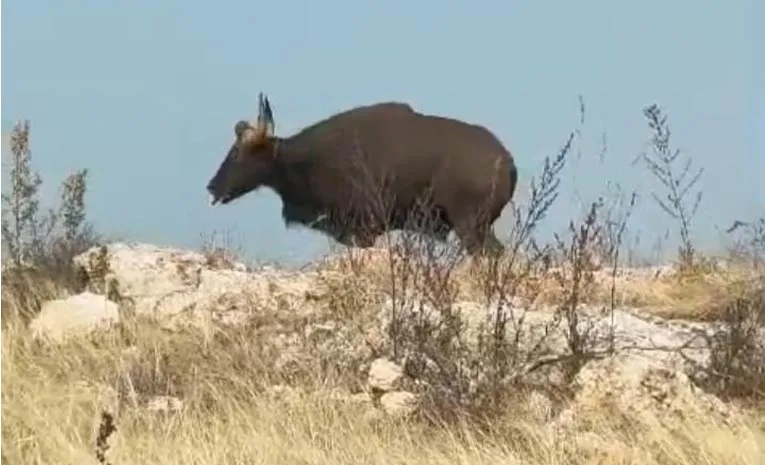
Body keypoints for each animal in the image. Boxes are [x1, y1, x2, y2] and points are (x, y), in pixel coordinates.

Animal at [207, 93, 520, 256]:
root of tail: (507, 160)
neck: (303, 160)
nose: (212, 187)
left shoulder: (363, 231)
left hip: (471, 228)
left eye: (237, 153)